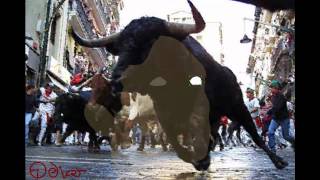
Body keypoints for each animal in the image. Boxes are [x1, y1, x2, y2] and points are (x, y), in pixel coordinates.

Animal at [71, 0, 292, 170]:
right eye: (121, 47)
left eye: (151, 43)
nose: (117, 80)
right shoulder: (165, 115)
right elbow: (174, 140)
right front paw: (198, 159)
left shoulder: (205, 109)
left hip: (237, 108)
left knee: (254, 135)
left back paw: (277, 160)